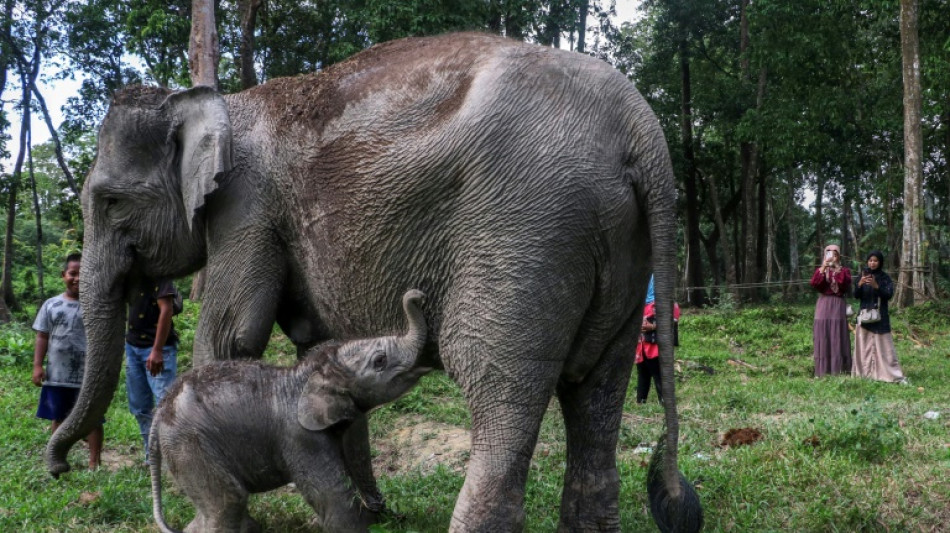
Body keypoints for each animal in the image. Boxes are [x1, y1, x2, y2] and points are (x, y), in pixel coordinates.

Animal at [150, 290, 432, 532]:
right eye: (380, 361)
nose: (418, 295)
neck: (308, 372)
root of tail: (159, 412)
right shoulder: (300, 436)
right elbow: (335, 496)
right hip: (189, 446)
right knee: (228, 502)